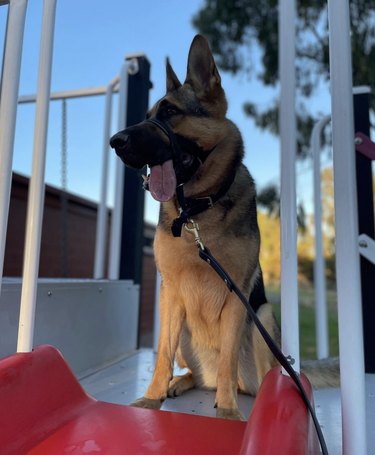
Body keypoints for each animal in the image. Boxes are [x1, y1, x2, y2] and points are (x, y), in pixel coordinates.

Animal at [111, 34, 282, 420]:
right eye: (147, 116)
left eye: (171, 113)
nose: (115, 142)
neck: (197, 212)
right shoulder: (171, 293)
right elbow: (161, 354)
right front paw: (151, 399)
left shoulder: (237, 295)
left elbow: (229, 359)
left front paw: (228, 413)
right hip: (187, 335)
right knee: (194, 371)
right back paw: (182, 382)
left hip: (262, 316)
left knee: (250, 375)